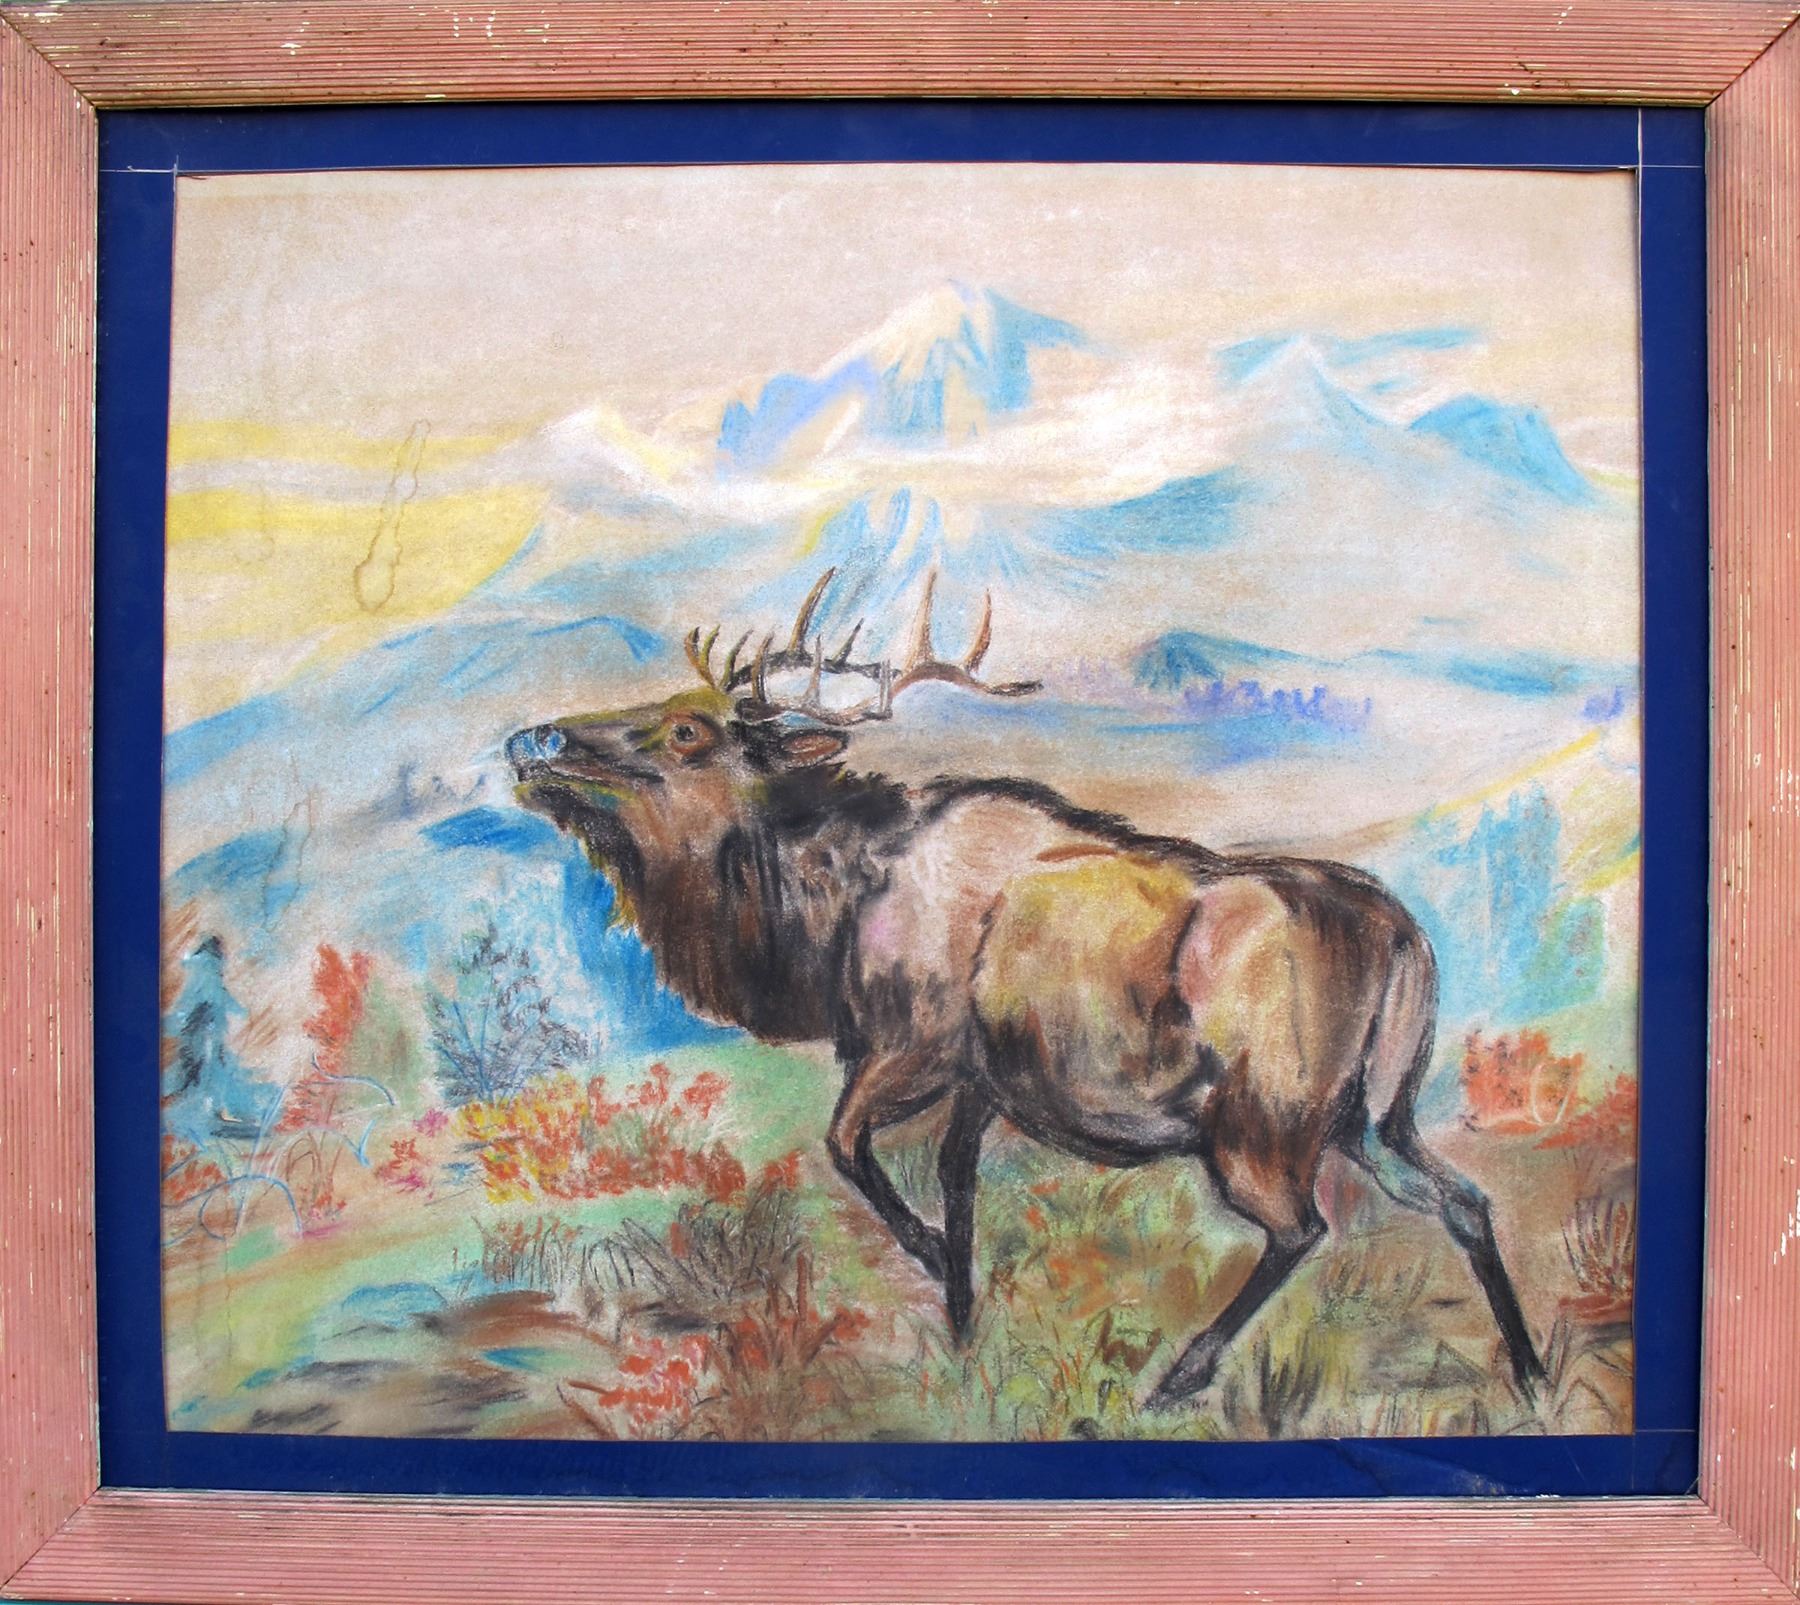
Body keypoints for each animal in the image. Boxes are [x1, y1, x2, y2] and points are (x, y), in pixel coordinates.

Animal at [505, 569, 1547, 1408]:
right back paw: (1531, 1371)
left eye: (686, 729)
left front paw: (933, 1264)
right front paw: (964, 1326)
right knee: (1464, 1197)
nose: (532, 736)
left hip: (1264, 1117)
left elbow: (848, 1147)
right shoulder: (983, 1084)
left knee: (1305, 1228)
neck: (824, 928)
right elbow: (958, 1187)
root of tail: (1407, 939)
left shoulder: (910, 1048)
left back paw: (1178, 1375)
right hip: (1374, 1113)